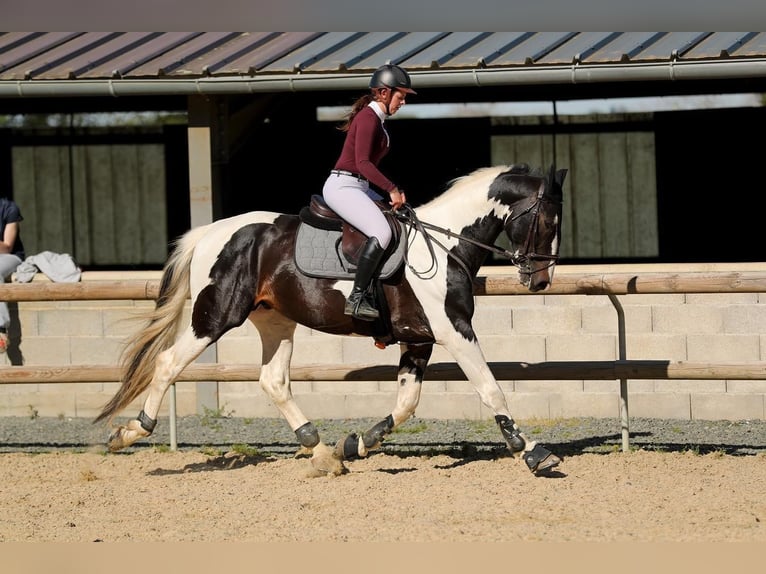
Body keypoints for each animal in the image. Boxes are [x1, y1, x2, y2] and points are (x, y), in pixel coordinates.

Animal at [94, 162, 568, 476]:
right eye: (548, 219)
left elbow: (407, 403)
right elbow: (490, 389)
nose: (541, 280)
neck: (444, 243)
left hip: (275, 321)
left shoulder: (418, 340)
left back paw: (322, 453)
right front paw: (531, 451)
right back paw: (131, 432)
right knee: (168, 363)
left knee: (273, 381)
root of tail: (211, 232)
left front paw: (356, 444)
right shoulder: (454, 332)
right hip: (215, 318)